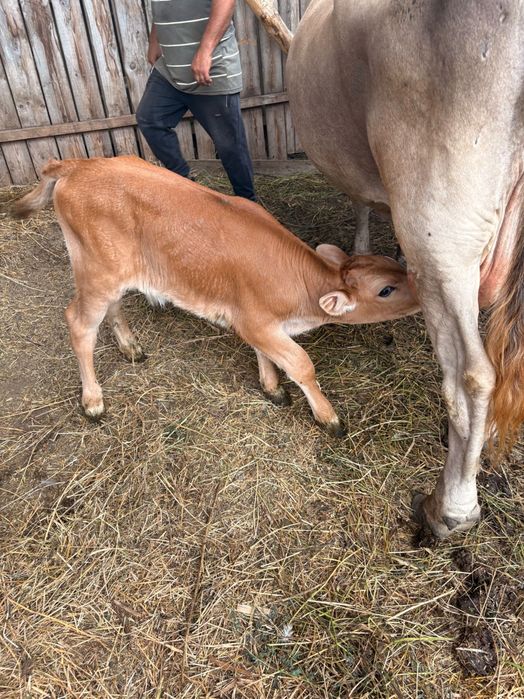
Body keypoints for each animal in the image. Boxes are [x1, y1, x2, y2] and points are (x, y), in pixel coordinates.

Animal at [13, 156, 419, 436]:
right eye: (385, 290)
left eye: (391, 266)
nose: (422, 291)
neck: (301, 288)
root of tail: (78, 163)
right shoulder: (255, 321)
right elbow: (301, 364)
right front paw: (328, 417)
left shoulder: (256, 321)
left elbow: (267, 353)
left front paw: (271, 387)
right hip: (96, 270)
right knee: (79, 324)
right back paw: (93, 401)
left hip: (110, 270)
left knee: (111, 307)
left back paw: (130, 347)